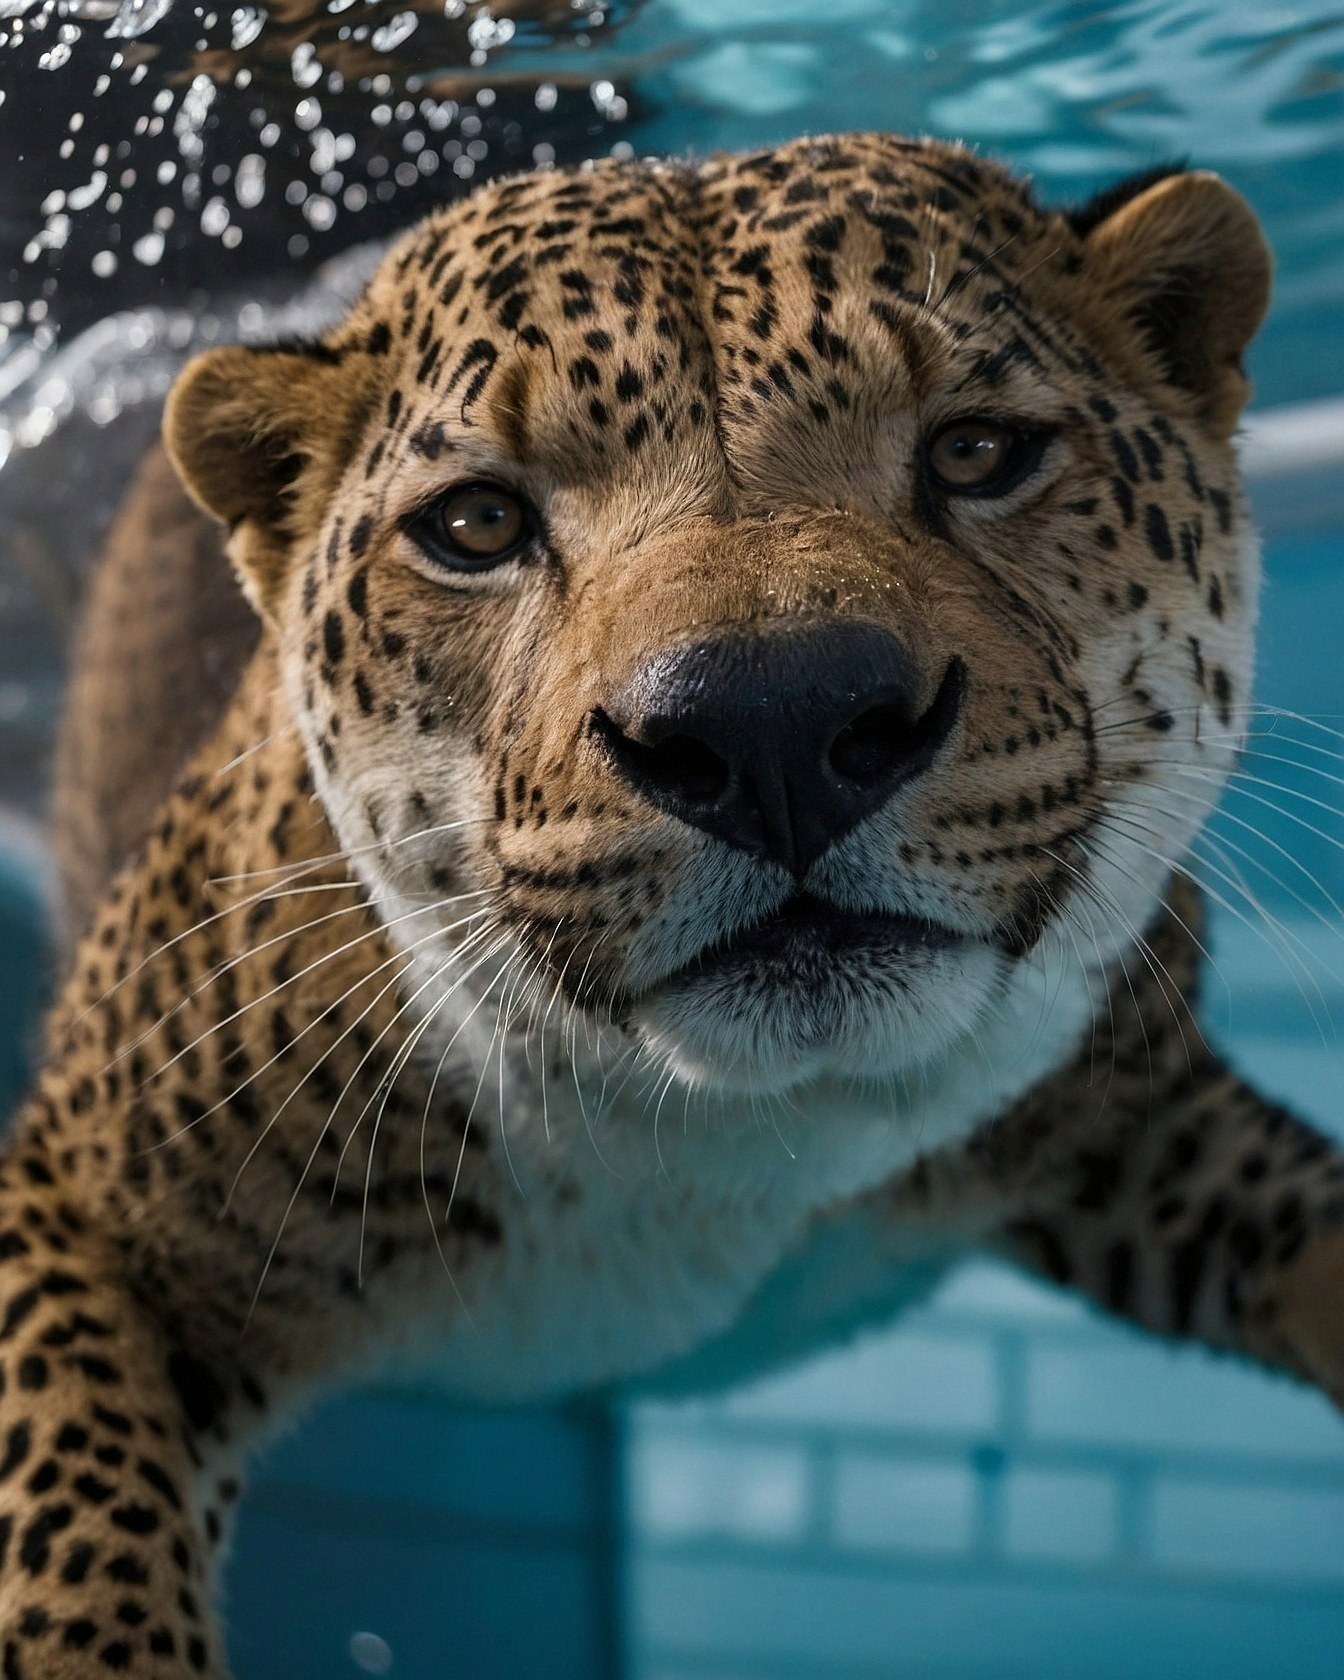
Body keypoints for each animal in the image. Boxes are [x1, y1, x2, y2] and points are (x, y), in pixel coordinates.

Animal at [3, 131, 1344, 1676]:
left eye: (978, 451)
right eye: (477, 524)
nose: (773, 728)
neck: (728, 1144)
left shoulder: (1148, 1109)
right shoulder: (74, 1198)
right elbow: (80, 1544)